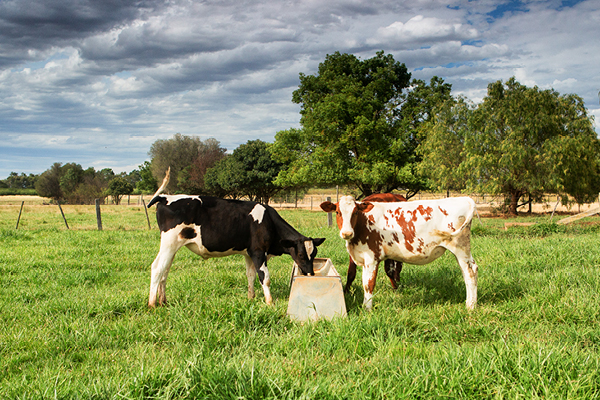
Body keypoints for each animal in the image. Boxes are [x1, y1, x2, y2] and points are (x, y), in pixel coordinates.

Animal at [322, 195, 480, 310]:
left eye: (355, 212)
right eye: (337, 212)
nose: (347, 233)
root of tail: (465, 198)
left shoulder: (372, 257)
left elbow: (368, 284)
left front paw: (367, 309)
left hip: (461, 247)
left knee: (470, 271)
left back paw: (471, 306)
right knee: (465, 272)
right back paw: (469, 302)